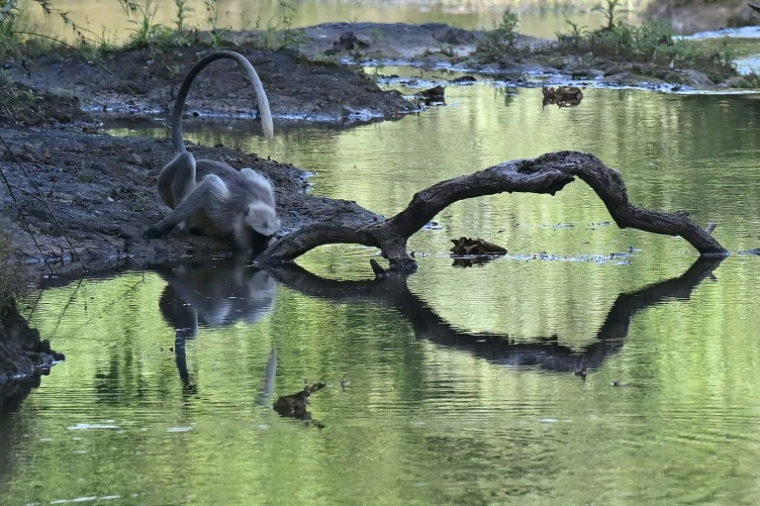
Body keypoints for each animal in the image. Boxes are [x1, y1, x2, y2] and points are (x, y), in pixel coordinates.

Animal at [143, 50, 280, 255]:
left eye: (267, 237)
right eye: (258, 237)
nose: (263, 247)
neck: (248, 205)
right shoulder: (221, 201)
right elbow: (209, 185)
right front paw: (161, 228)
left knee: (246, 170)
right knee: (187, 158)